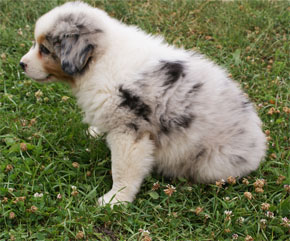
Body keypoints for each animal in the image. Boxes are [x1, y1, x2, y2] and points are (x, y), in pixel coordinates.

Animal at [19, 1, 266, 205]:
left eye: (44, 49)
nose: (21, 64)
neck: (100, 59)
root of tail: (259, 142)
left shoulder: (130, 132)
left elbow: (122, 171)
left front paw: (115, 200)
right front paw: (95, 131)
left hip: (212, 162)